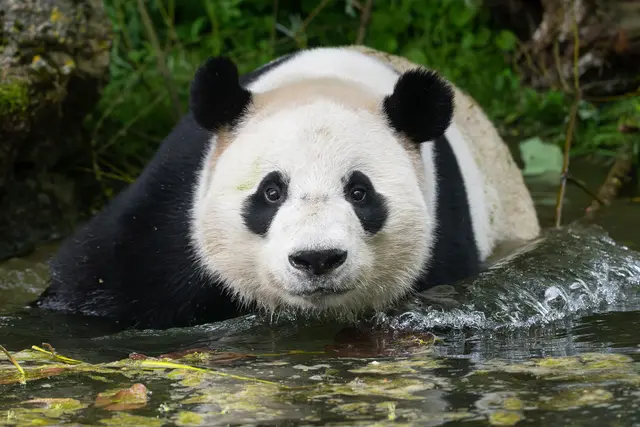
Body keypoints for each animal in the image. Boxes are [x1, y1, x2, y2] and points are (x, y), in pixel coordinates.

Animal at [34, 46, 540, 330]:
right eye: (271, 192)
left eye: (360, 193)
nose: (317, 259)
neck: (326, 82)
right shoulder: (170, 213)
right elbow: (103, 282)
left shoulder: (443, 242)